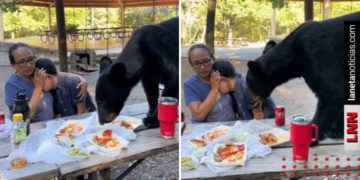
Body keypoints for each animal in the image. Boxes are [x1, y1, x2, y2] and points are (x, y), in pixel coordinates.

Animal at [246, 12, 360, 140]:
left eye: (250, 85)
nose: (250, 101)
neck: (293, 56)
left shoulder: (317, 53)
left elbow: (333, 91)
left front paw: (314, 134)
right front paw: (336, 129)